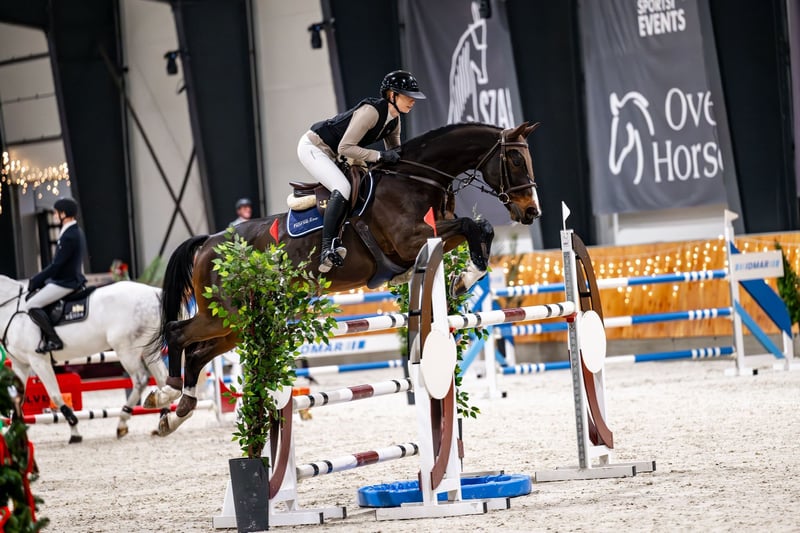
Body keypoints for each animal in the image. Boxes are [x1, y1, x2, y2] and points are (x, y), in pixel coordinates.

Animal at [0, 276, 173, 443]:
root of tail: (154, 292)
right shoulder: (20, 364)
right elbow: (17, 397)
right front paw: (13, 434)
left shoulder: (38, 360)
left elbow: (55, 395)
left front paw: (74, 430)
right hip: (149, 349)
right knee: (162, 378)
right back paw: (164, 421)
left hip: (126, 350)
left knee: (140, 380)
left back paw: (122, 422)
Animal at [146, 120, 542, 436]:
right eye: (515, 160)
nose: (531, 212)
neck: (415, 179)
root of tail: (209, 243)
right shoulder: (409, 240)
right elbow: (474, 225)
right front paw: (464, 278)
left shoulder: (434, 235)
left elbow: (479, 229)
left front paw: (463, 278)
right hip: (224, 314)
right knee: (178, 334)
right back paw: (166, 391)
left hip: (238, 324)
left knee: (197, 354)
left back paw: (175, 413)